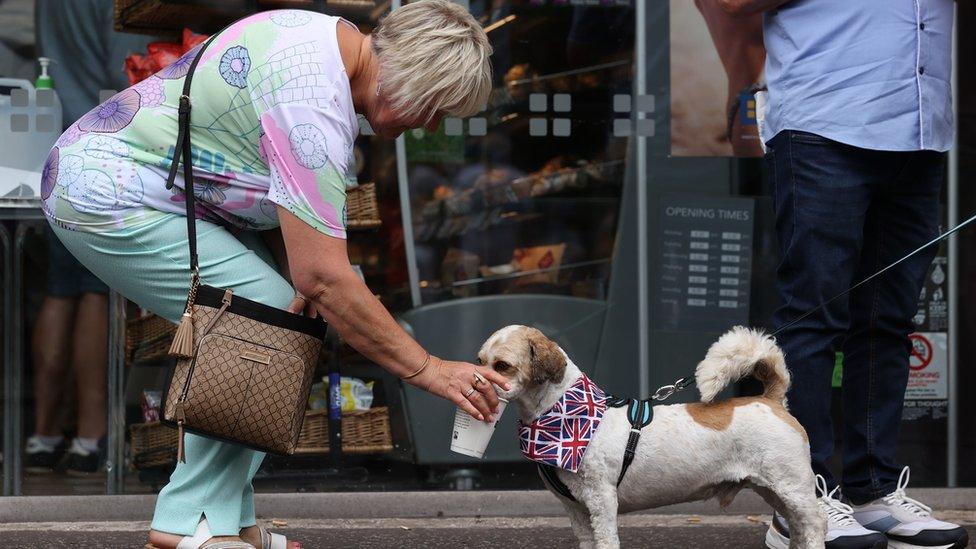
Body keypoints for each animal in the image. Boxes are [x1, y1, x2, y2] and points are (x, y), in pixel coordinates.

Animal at [478, 326, 824, 548]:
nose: (477, 380)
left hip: (794, 488)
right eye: (480, 360)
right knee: (798, 529)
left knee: (814, 527)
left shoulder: (602, 502)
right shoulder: (577, 511)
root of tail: (771, 400)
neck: (565, 416)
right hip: (775, 491)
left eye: (503, 365)